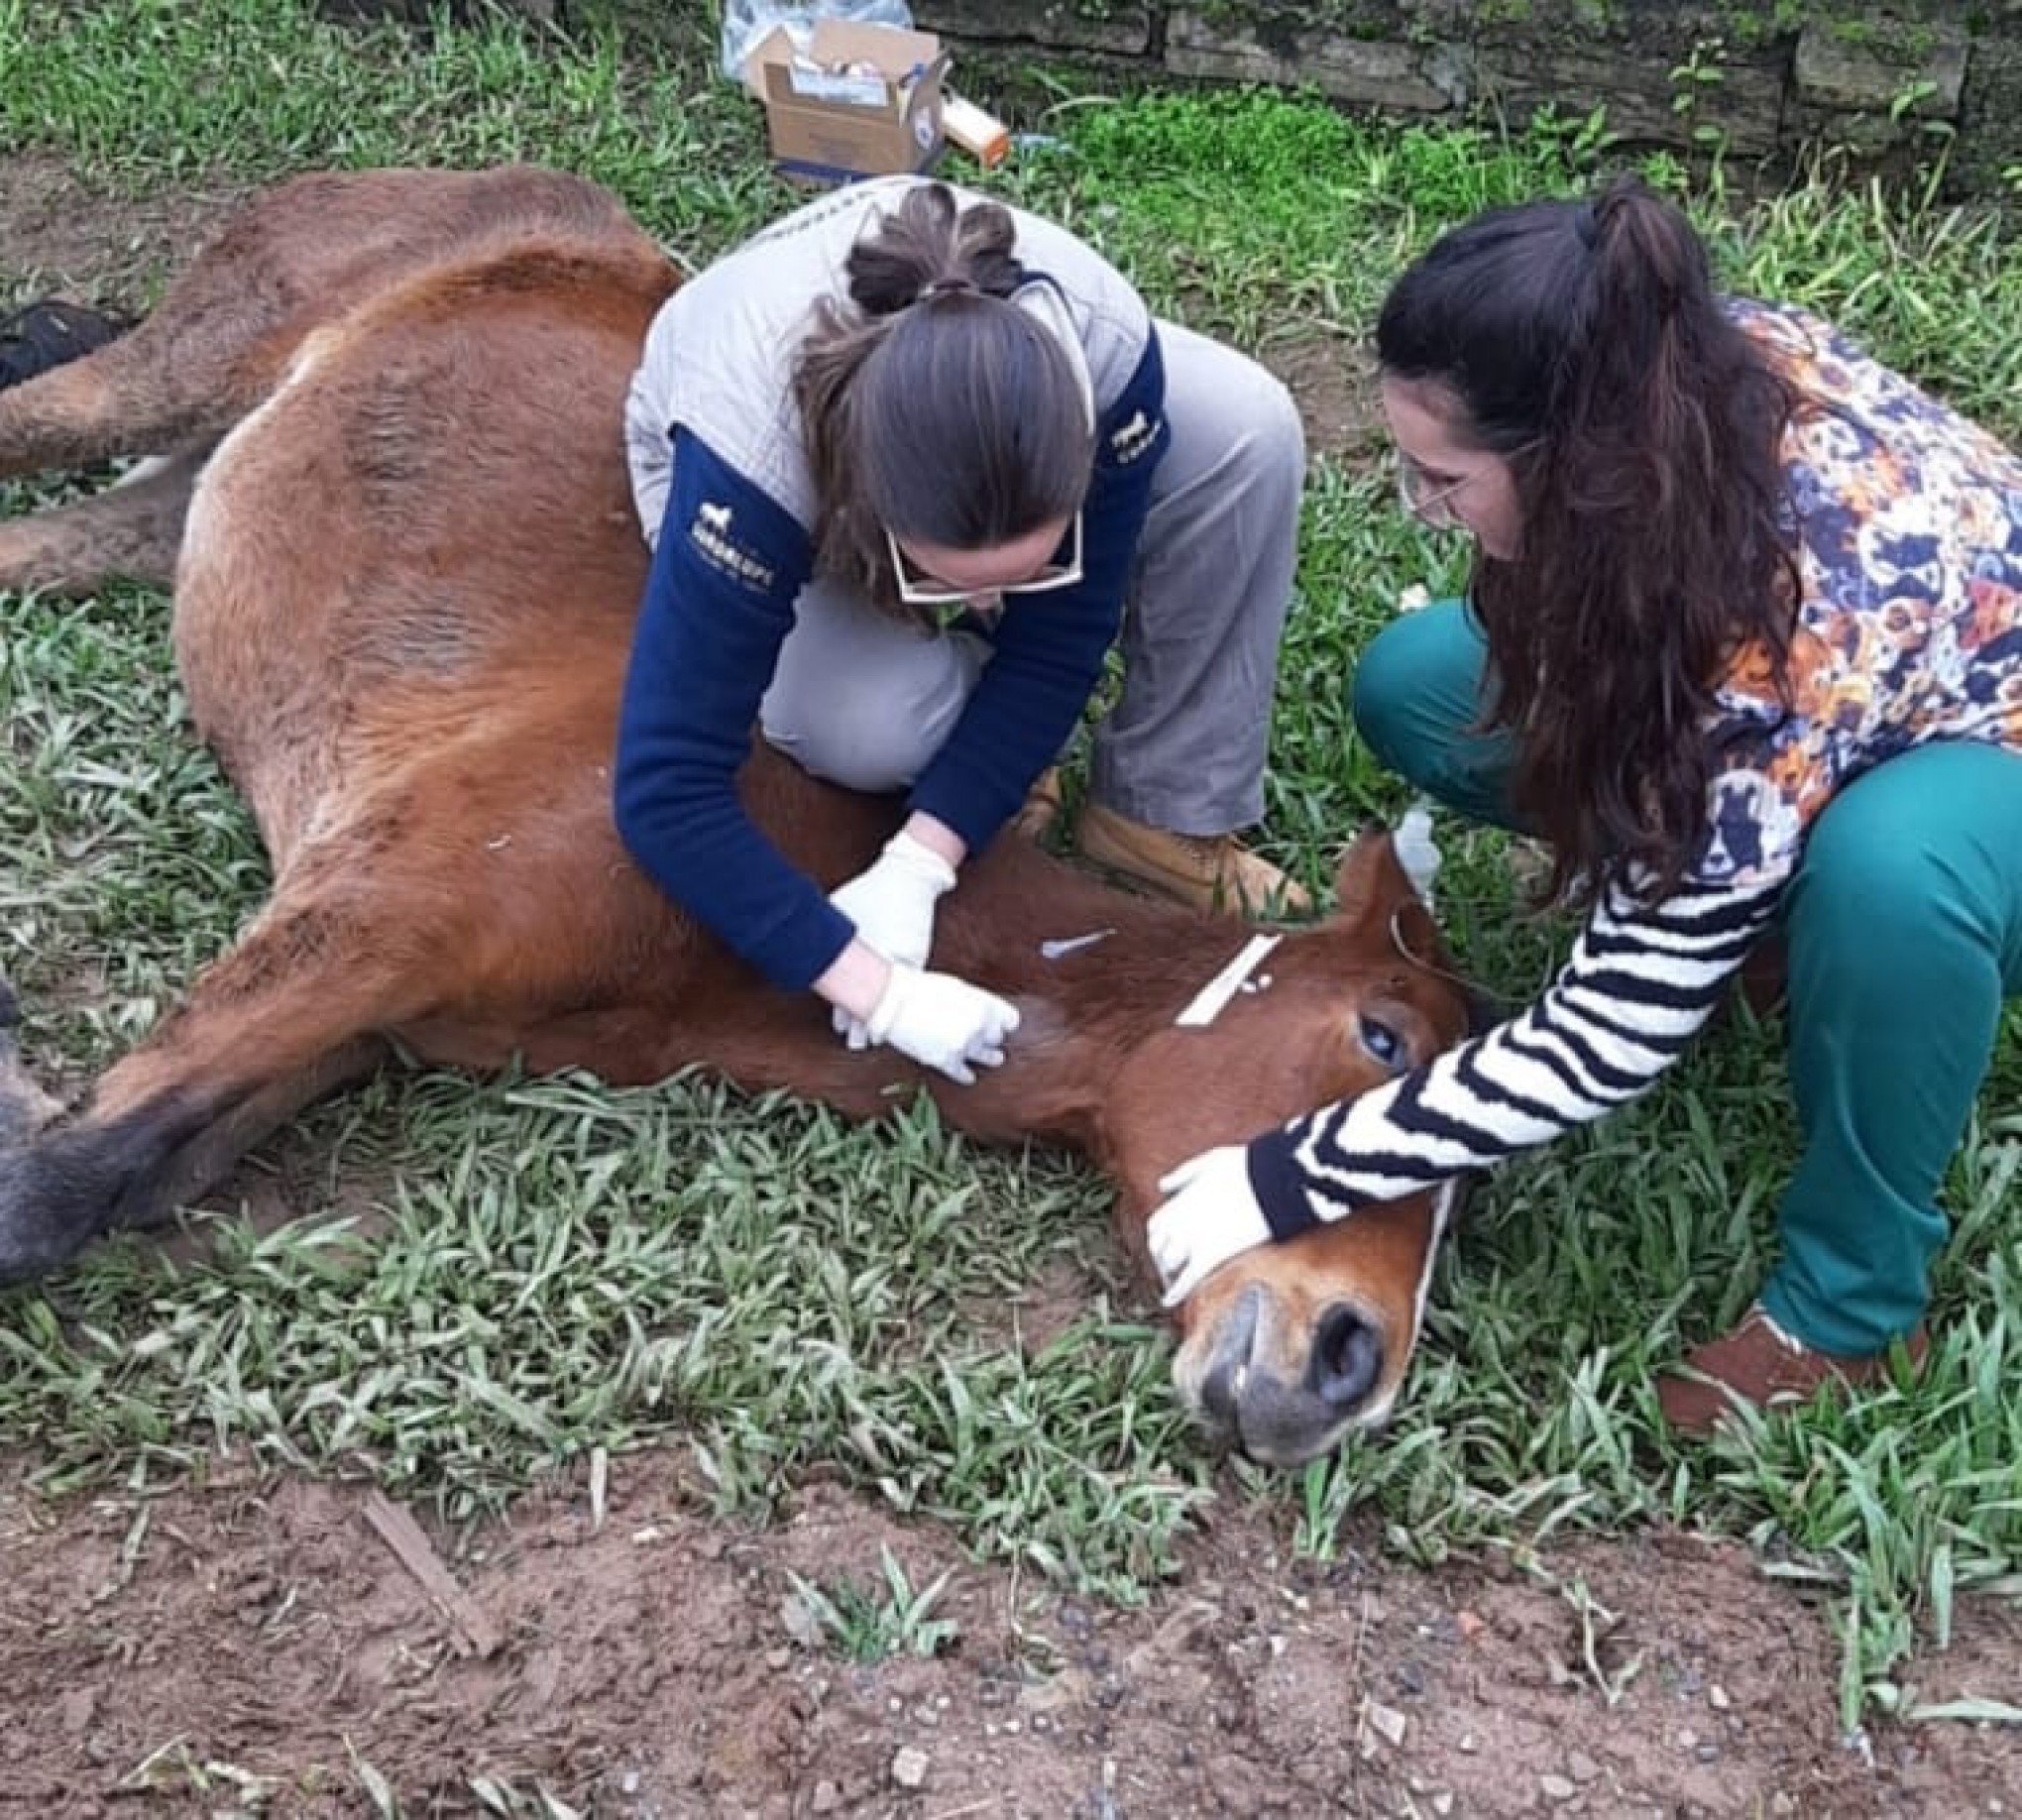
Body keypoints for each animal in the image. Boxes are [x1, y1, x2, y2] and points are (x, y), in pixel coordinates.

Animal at [0, 167, 1480, 1463]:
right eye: (1379, 1035)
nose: (1349, 1369)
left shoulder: (365, 1018)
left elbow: (128, 1168)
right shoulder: (371, 921)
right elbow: (50, 1193)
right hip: (178, 369)